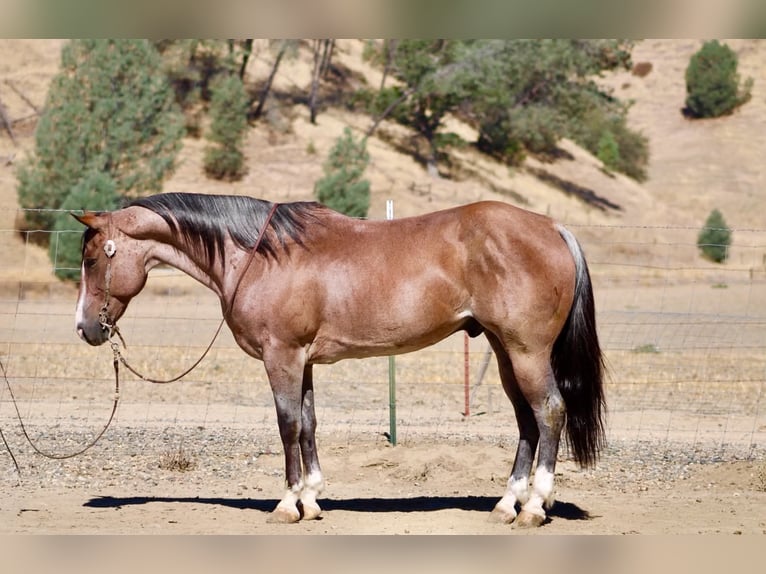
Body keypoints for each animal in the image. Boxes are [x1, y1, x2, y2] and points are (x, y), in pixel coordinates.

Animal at [73, 192, 604, 527]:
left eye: (93, 259)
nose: (85, 328)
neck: (261, 255)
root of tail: (552, 227)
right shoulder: (302, 361)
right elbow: (308, 424)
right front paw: (311, 499)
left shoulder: (282, 357)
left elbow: (287, 424)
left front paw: (288, 503)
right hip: (502, 349)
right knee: (526, 421)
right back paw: (507, 503)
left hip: (526, 351)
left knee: (549, 412)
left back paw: (534, 507)